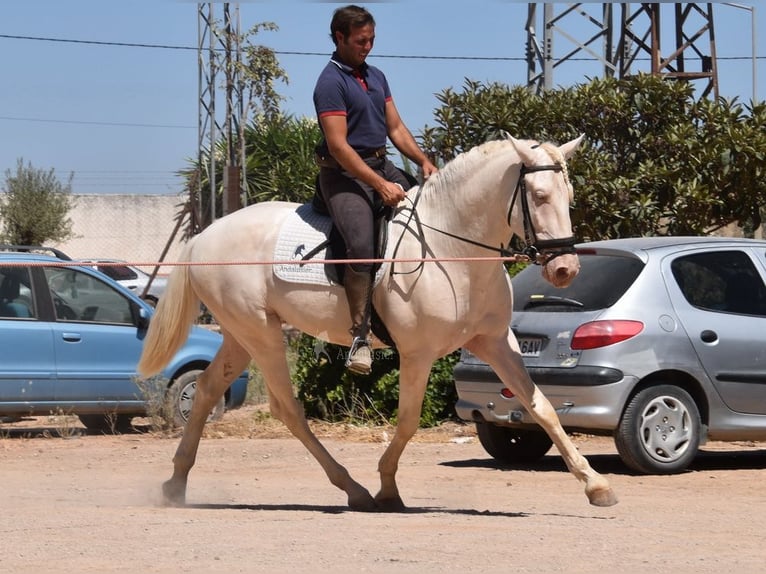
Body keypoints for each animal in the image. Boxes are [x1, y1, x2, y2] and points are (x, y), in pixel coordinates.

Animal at [136, 136, 616, 512]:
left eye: (569, 196)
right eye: (538, 196)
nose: (565, 270)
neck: (451, 249)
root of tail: (205, 235)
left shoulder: (495, 343)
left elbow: (542, 407)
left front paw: (595, 485)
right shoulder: (418, 354)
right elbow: (407, 421)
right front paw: (387, 488)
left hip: (240, 334)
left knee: (206, 391)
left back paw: (176, 484)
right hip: (260, 333)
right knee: (287, 409)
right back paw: (354, 489)